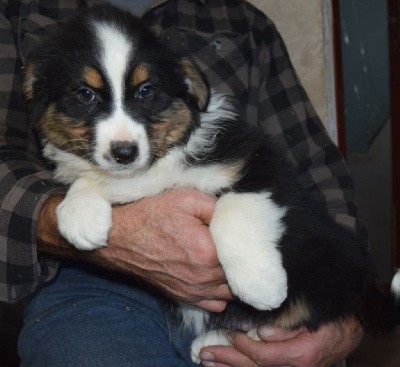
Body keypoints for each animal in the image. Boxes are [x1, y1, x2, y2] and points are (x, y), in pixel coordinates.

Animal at [21, 3, 396, 366]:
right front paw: (79, 216)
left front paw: (260, 285)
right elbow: (89, 178)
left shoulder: (258, 163)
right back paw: (212, 342)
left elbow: (231, 212)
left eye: (146, 90)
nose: (124, 153)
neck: (158, 164)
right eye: (85, 94)